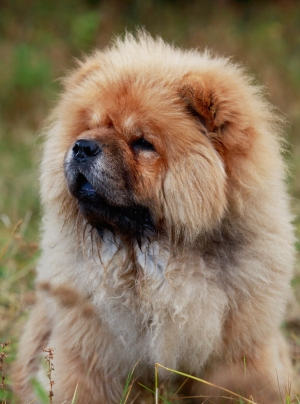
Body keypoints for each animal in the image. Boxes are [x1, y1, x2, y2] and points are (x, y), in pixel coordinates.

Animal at [13, 32, 296, 404]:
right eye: (92, 126)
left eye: (143, 143)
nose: (83, 146)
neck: (151, 261)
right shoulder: (90, 350)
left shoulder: (238, 349)